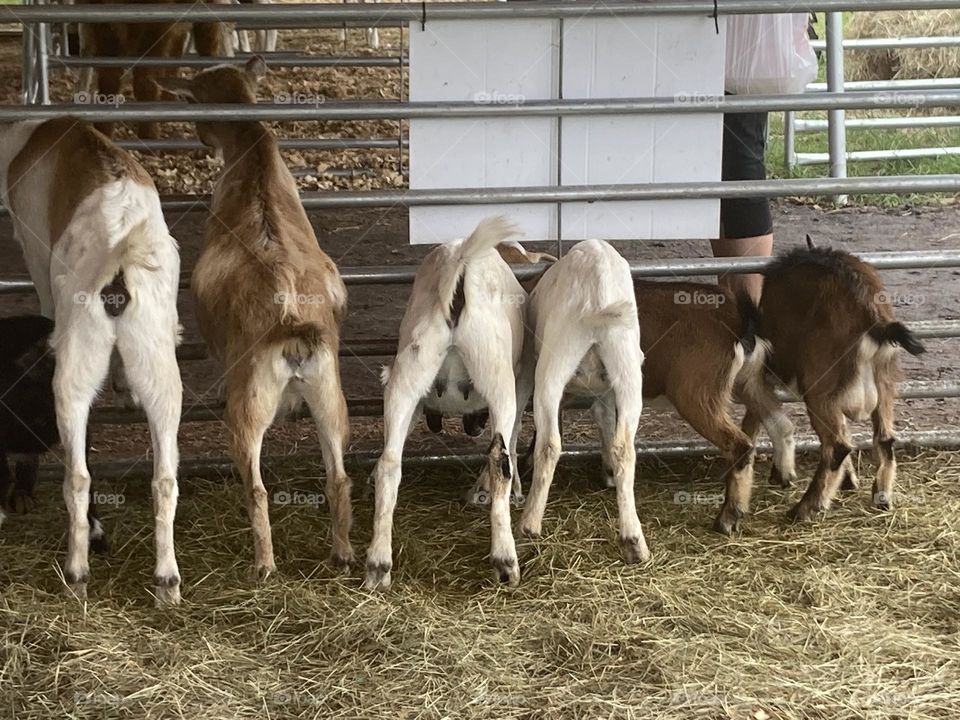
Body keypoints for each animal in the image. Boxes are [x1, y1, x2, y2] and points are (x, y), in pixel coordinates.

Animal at [75, 0, 233, 139]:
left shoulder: (156, 29)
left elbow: (145, 82)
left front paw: (148, 135)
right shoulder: (104, 28)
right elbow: (109, 80)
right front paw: (102, 131)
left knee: (208, 48)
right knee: (176, 52)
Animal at [157, 58, 354, 580]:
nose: (202, 138)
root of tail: (292, 324)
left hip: (249, 405)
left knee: (258, 486)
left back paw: (263, 565)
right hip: (331, 397)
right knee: (339, 477)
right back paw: (343, 553)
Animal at [364, 217, 527, 590]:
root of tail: (459, 263)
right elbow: (511, 442)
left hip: (408, 374)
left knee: (389, 462)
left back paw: (378, 565)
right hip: (497, 376)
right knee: (500, 459)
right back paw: (506, 561)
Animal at [517, 240, 650, 564]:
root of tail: (597, 286)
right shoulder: (607, 391)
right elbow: (608, 424)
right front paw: (609, 471)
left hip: (552, 366)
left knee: (549, 445)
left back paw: (529, 524)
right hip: (628, 369)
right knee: (625, 447)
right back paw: (633, 540)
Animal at [731, 243, 925, 524]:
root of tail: (873, 318)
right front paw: (849, 480)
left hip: (820, 390)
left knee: (837, 446)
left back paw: (805, 508)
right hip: (884, 383)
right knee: (884, 439)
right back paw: (881, 497)